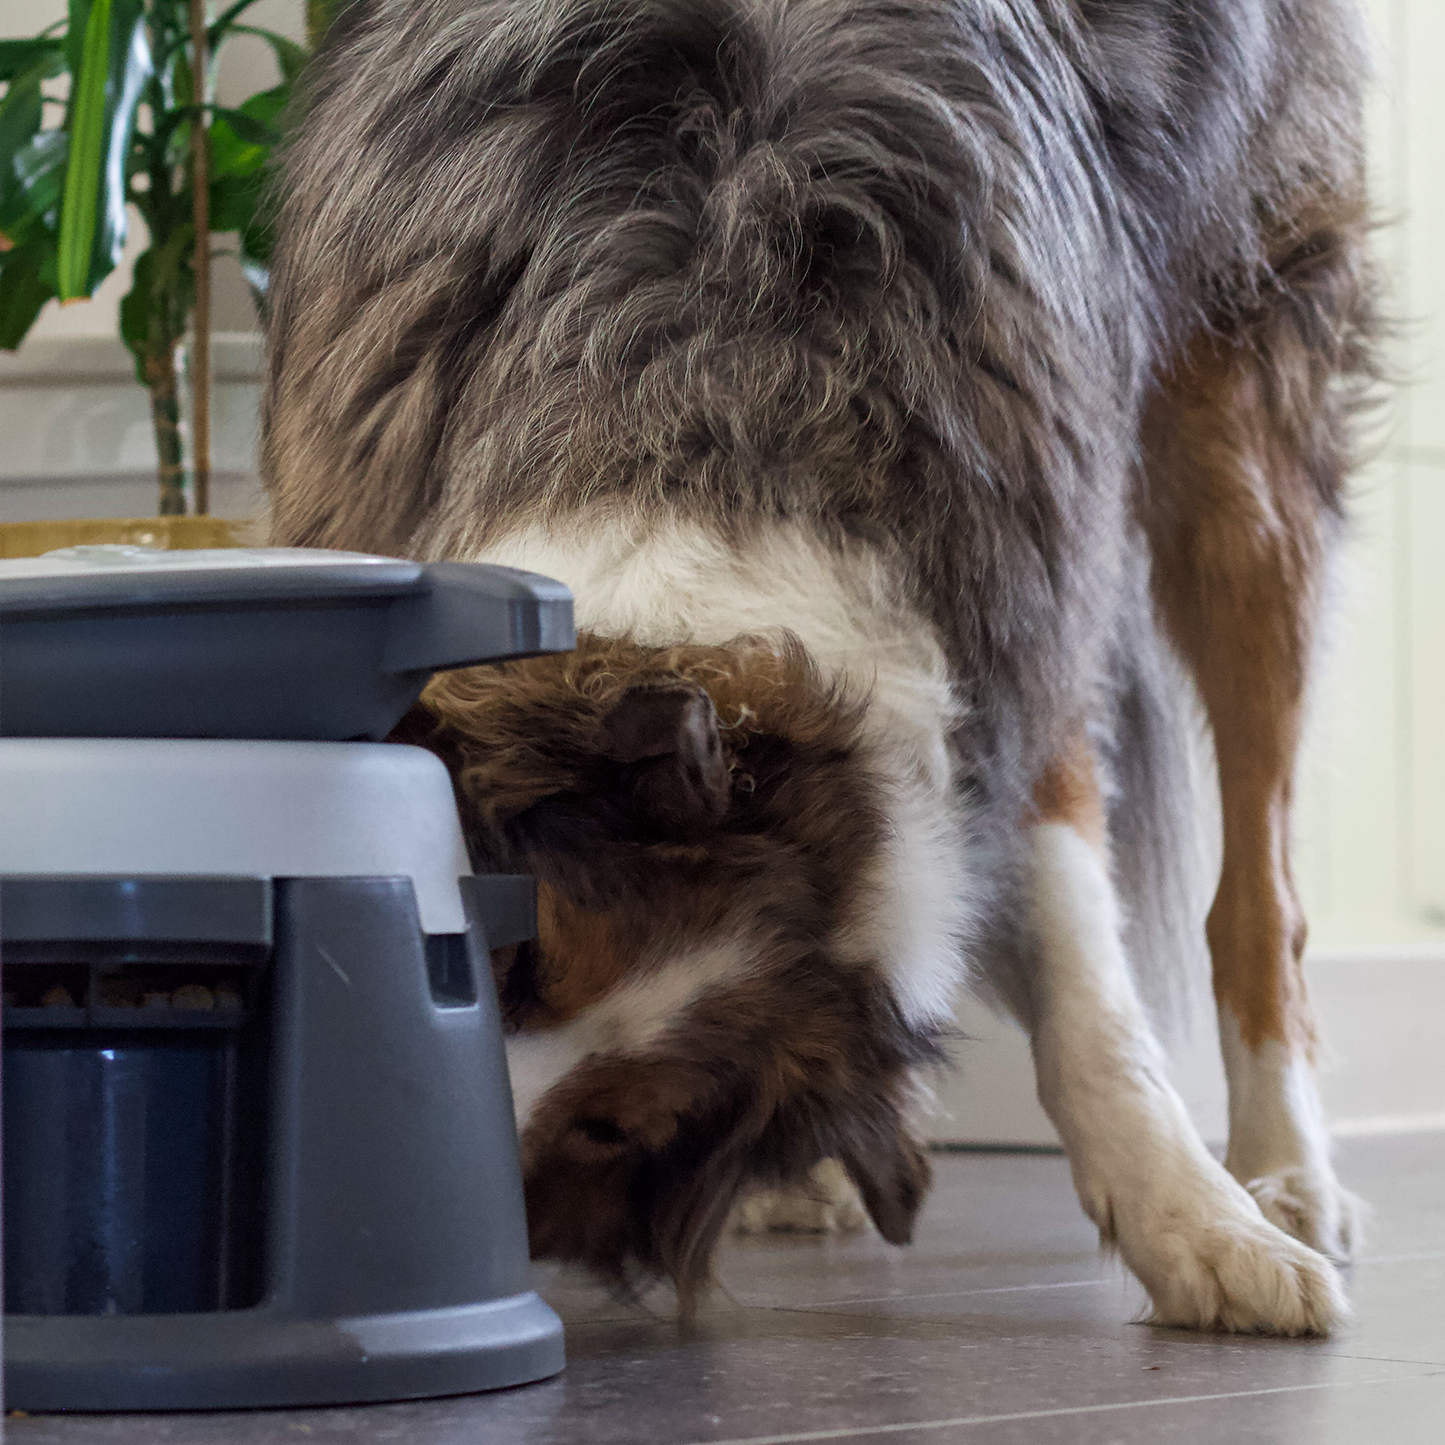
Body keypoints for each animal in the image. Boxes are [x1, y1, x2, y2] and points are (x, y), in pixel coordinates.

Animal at [260, 0, 1375, 1329]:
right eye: (515, 960)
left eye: (609, 1130)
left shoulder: (1019, 617)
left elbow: (1085, 979)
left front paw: (1190, 1217)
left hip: (1239, 419)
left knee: (1262, 888)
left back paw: (1283, 1170)